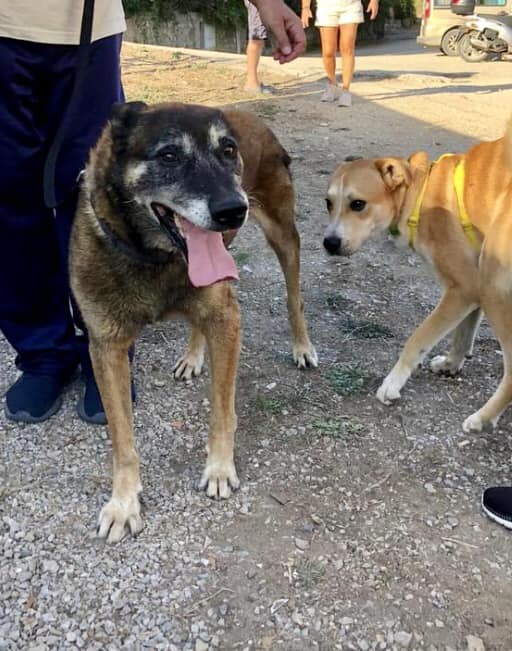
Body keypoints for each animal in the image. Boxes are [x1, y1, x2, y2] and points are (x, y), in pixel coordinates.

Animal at [68, 102, 316, 544]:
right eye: (169, 155)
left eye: (228, 150)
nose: (234, 209)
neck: (155, 257)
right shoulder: (107, 347)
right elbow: (122, 439)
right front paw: (123, 503)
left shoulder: (228, 320)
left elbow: (221, 411)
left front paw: (219, 468)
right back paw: (193, 356)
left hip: (284, 238)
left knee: (294, 297)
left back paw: (302, 346)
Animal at [324, 117, 512, 432]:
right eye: (328, 203)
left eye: (357, 204)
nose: (329, 243)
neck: (419, 196)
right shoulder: (473, 289)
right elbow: (463, 333)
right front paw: (451, 364)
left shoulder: (463, 289)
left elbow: (417, 339)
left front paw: (392, 383)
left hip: (495, 285)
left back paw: (484, 417)